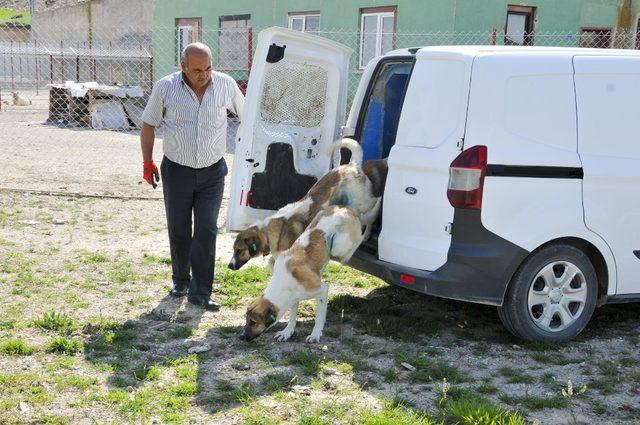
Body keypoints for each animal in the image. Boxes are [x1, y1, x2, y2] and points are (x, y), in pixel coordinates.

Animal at [225, 141, 384, 270]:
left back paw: (368, 232)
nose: (229, 266)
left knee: (372, 212)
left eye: (239, 250)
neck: (268, 231)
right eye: (233, 250)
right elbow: (271, 262)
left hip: (362, 202)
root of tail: (352, 165)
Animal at [242, 204, 378, 342]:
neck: (283, 283)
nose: (241, 337)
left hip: (338, 246)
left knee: (359, 237)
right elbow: (292, 316)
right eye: (246, 319)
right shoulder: (293, 298)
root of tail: (345, 208)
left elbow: (319, 317)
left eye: (253, 322)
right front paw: (287, 332)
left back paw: (361, 241)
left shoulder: (322, 290)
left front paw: (315, 334)